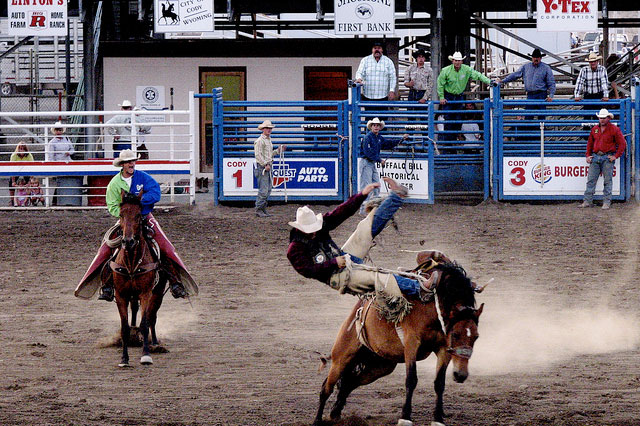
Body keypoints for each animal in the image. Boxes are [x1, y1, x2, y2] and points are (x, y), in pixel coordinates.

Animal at [112, 191, 168, 368]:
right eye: (121, 214)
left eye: (138, 215)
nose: (128, 241)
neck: (131, 263)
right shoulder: (121, 295)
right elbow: (124, 327)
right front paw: (124, 359)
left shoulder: (145, 293)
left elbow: (145, 323)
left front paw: (146, 355)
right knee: (136, 312)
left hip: (157, 293)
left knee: (152, 317)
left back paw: (155, 343)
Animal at [316, 258, 484, 426]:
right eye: (455, 334)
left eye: (476, 337)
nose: (460, 375)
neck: (432, 307)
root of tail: (357, 312)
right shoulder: (411, 345)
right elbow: (411, 380)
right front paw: (405, 417)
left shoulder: (444, 349)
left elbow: (439, 383)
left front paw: (438, 419)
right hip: (341, 357)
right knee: (327, 387)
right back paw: (318, 419)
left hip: (379, 366)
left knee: (349, 382)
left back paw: (335, 413)